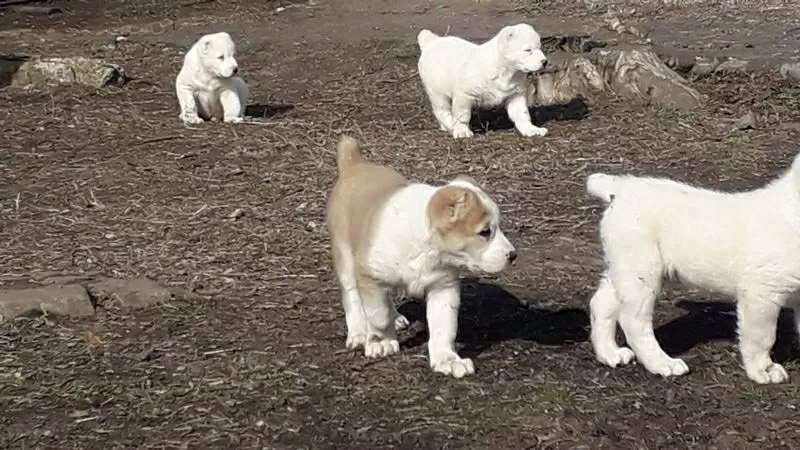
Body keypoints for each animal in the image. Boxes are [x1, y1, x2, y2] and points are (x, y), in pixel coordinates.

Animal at [326, 135, 520, 378]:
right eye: (485, 232)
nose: (512, 255)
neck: (426, 247)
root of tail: (355, 164)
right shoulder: (368, 275)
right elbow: (378, 314)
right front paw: (380, 340)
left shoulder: (443, 288)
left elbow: (444, 329)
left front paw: (447, 359)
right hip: (345, 259)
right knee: (353, 297)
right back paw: (359, 332)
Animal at [416, 22, 548, 139]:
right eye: (528, 50)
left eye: (539, 47)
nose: (545, 61)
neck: (504, 70)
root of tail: (431, 41)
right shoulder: (464, 95)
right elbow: (462, 115)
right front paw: (462, 130)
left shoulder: (515, 95)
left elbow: (522, 114)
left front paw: (531, 129)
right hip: (437, 92)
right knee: (441, 110)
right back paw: (450, 125)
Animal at [584, 153, 800, 384]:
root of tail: (622, 187)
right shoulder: (761, 293)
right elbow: (763, 337)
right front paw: (763, 370)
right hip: (642, 269)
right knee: (634, 321)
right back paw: (662, 364)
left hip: (624, 266)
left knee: (601, 303)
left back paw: (610, 353)